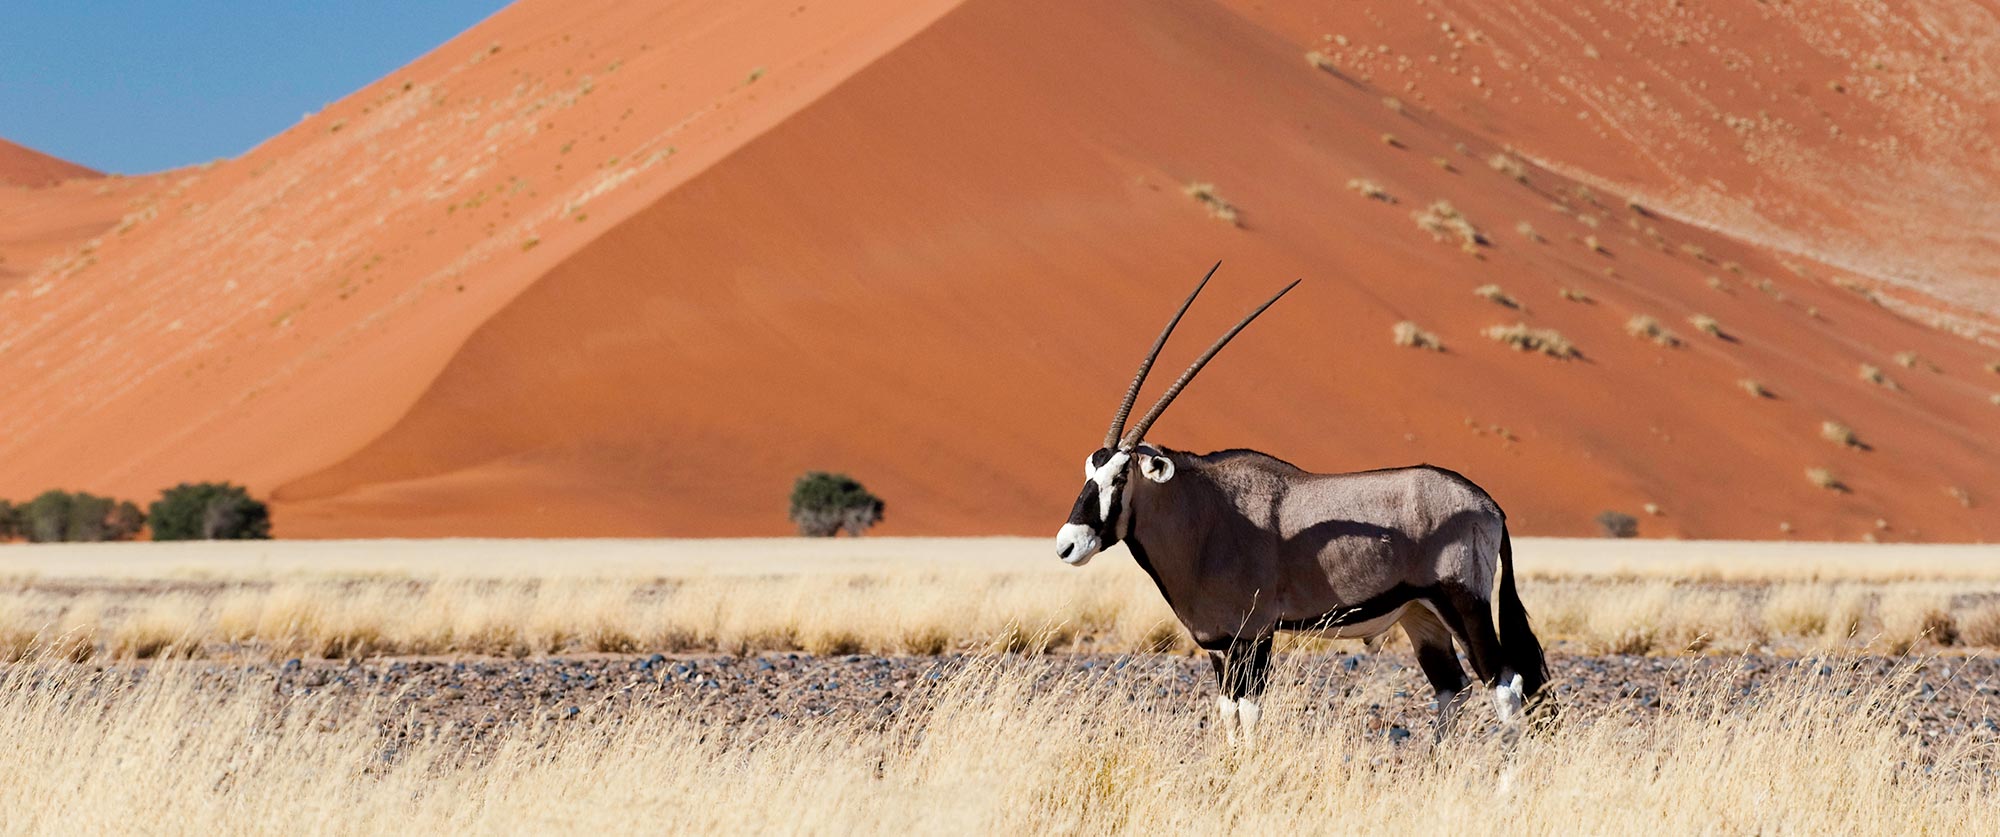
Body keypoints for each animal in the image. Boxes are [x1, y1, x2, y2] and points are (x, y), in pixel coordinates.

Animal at [1064, 262, 1544, 744]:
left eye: (1120, 476)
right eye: (1089, 471)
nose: (1067, 545)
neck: (1206, 516)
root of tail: (1489, 505)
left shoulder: (1254, 635)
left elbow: (1250, 711)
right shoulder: (1220, 643)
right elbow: (1227, 711)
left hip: (1464, 604)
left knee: (1505, 685)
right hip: (1421, 614)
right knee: (1452, 687)